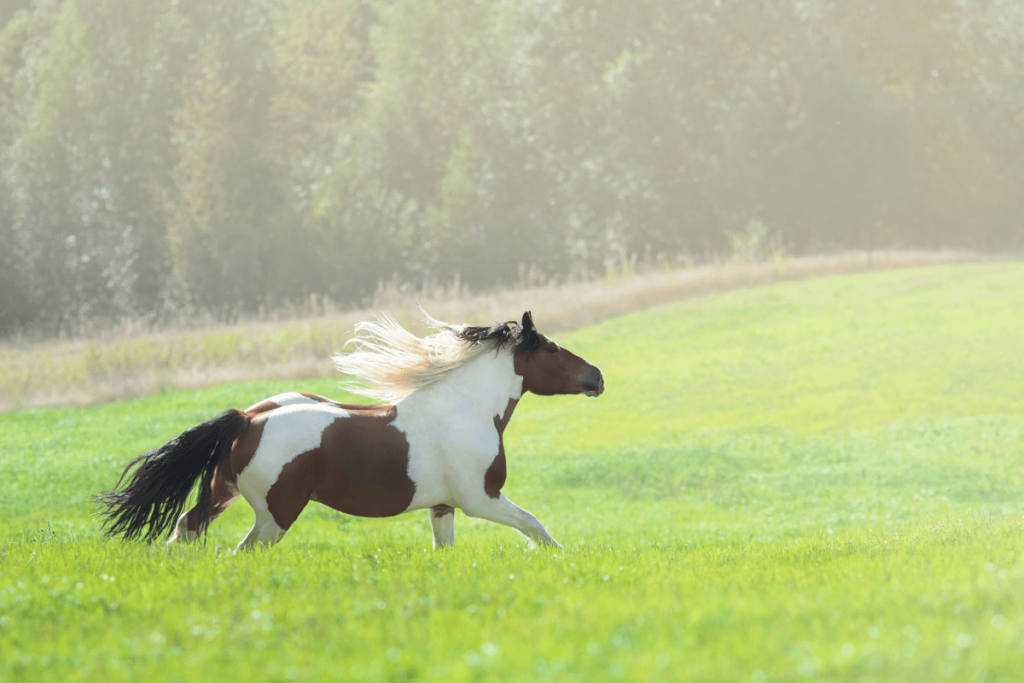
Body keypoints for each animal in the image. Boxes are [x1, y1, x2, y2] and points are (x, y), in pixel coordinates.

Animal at [97, 313, 598, 552]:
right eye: (552, 348)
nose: (598, 377)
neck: (465, 409)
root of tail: (248, 418)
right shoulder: (481, 498)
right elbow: (536, 527)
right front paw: (558, 558)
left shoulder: (443, 506)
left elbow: (447, 550)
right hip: (276, 514)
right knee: (243, 550)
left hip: (224, 492)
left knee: (185, 528)